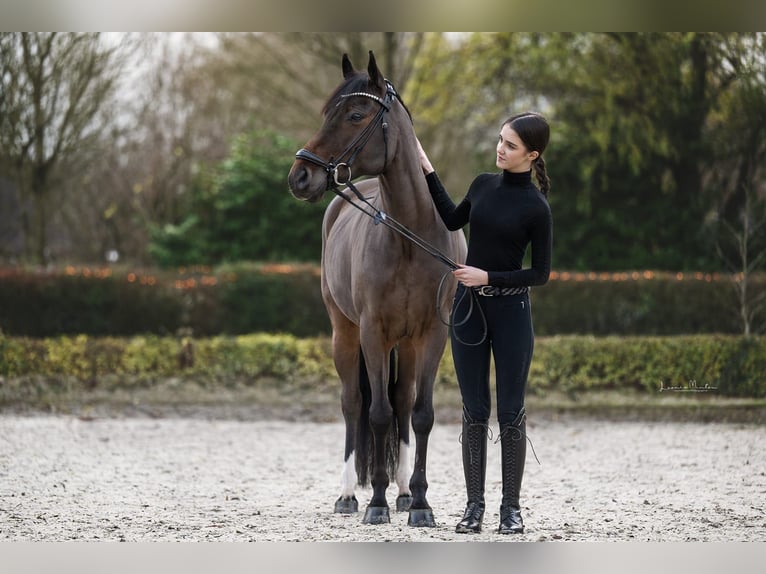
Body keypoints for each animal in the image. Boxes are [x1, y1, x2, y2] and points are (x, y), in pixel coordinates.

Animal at [287, 51, 467, 527]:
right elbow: (377, 413)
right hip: (345, 334)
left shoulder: (431, 335)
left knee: (402, 402)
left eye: (354, 115)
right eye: (325, 113)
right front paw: (377, 503)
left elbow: (419, 415)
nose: (300, 176)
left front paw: (419, 502)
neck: (409, 234)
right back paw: (350, 494)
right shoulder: (372, 332)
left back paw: (403, 491)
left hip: (403, 344)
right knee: (353, 404)